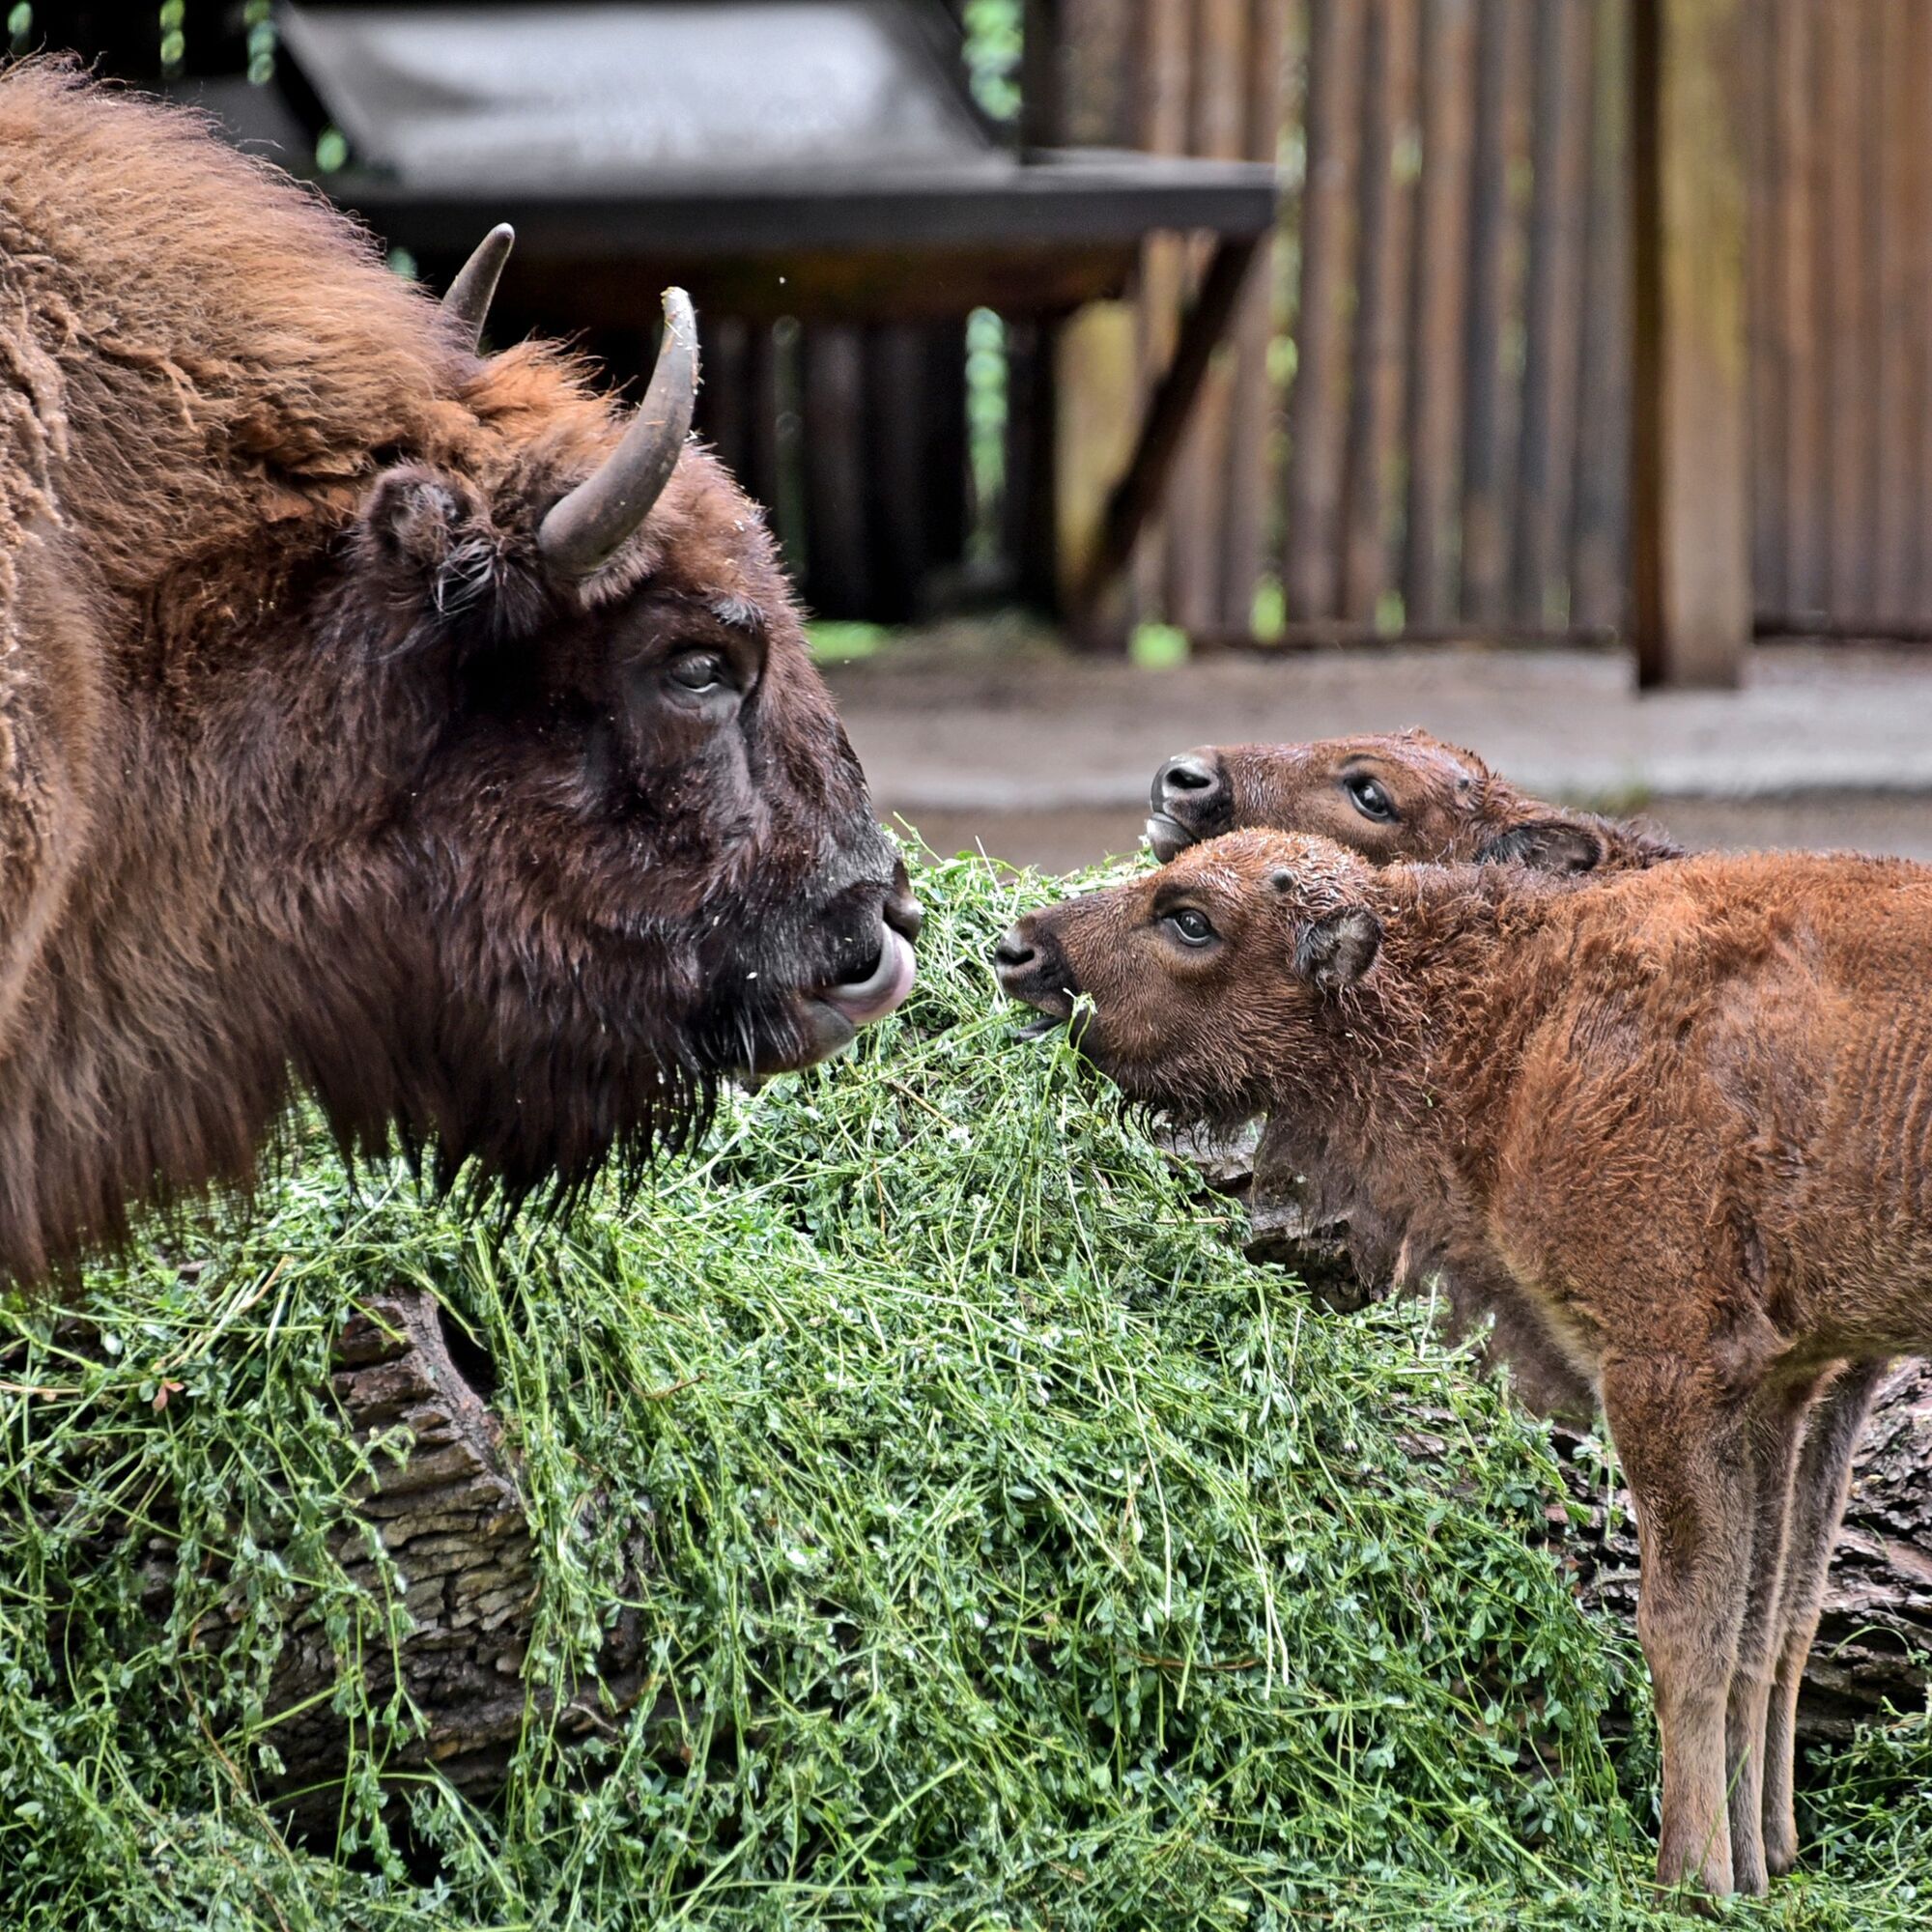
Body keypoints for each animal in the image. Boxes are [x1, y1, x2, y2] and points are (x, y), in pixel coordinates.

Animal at [997, 831, 1932, 1901]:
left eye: (1190, 918)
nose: (1017, 949)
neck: (1519, 1026)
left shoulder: (1665, 1369)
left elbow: (1683, 1629)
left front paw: (1688, 1875)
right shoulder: (1781, 1386)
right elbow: (1767, 1623)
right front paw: (1760, 1859)